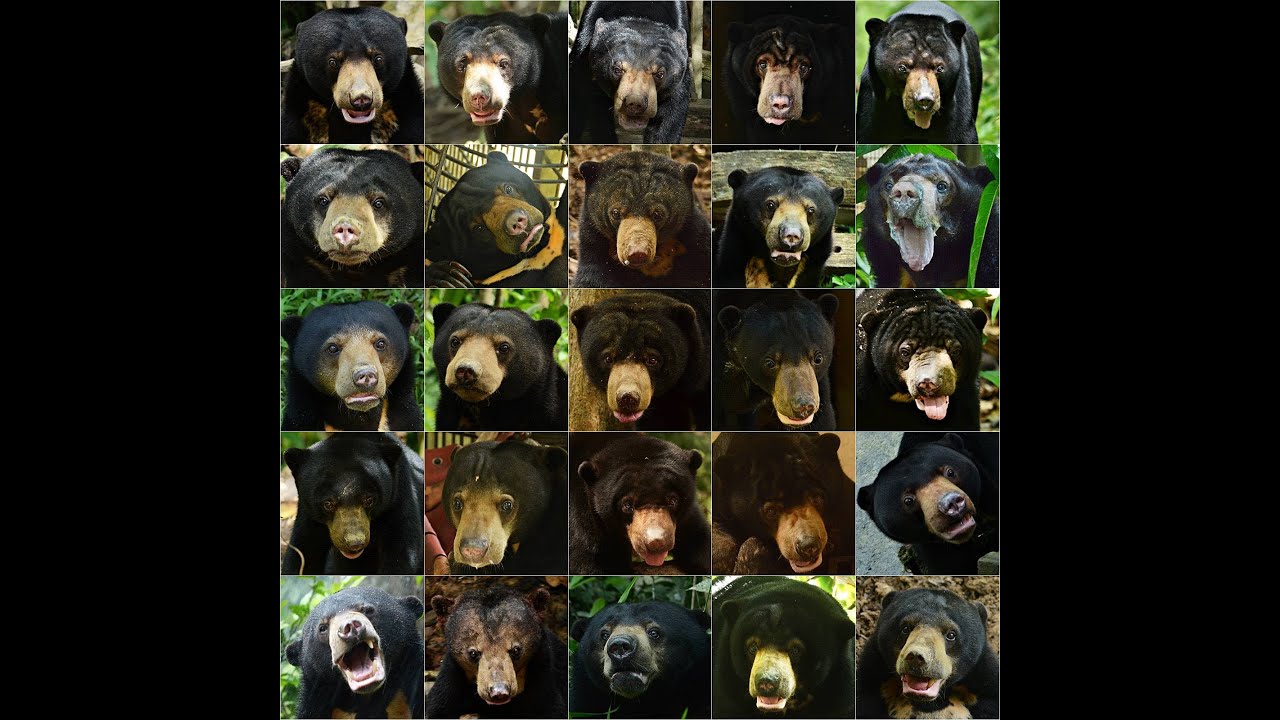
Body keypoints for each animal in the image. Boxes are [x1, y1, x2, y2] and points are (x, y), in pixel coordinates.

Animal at [283, 432, 425, 575]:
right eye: (328, 504)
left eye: (369, 500)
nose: (355, 543)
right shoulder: (308, 515)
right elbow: (303, 551)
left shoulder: (398, 500)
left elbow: (401, 553)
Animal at [427, 586, 567, 719]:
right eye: (473, 653)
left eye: (516, 650)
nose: (499, 693)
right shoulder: (451, 678)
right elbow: (438, 708)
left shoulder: (543, 677)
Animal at [568, 433, 711, 574]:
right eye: (627, 505)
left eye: (672, 501)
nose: (656, 542)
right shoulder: (585, 524)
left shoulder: (686, 518)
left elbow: (700, 542)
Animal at [855, 587, 1000, 718]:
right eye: (905, 628)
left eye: (951, 635)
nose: (916, 657)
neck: (929, 703)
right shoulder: (872, 682)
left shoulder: (985, 686)